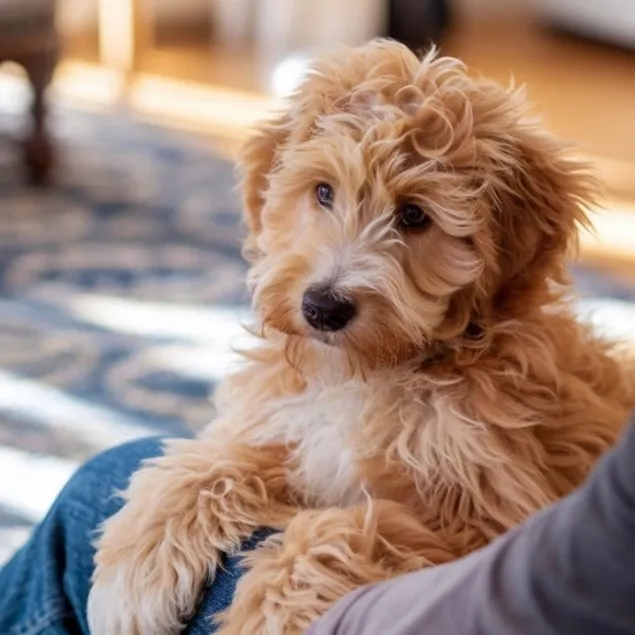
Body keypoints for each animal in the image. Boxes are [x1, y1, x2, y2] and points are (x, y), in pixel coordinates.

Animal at [85, 41, 635, 635]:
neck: (369, 374)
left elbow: (354, 531)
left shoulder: (491, 521)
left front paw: (270, 611)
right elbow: (217, 459)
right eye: (324, 192)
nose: (322, 307)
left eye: (414, 215)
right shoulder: (289, 429)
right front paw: (138, 563)